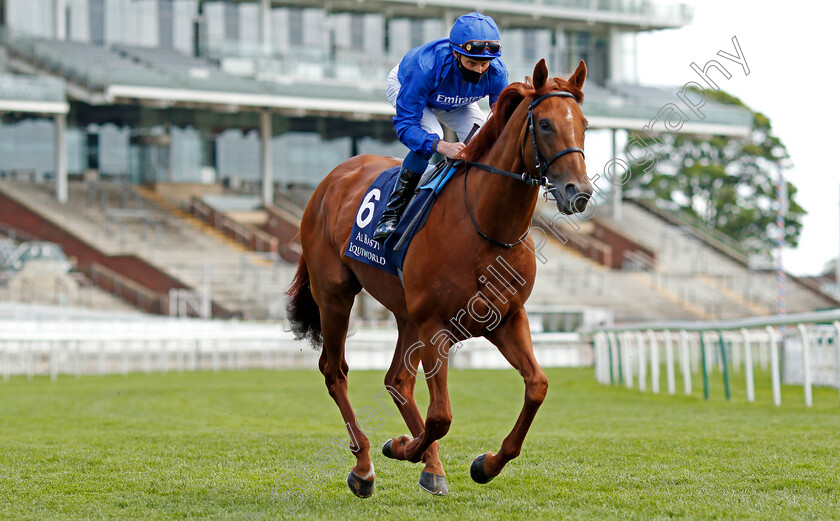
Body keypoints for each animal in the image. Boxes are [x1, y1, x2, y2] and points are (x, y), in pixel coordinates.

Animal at [286, 59, 588, 498]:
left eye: (583, 123)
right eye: (545, 124)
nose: (578, 192)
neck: (485, 226)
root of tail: (333, 177)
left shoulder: (507, 318)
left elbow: (537, 386)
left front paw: (486, 464)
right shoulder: (435, 325)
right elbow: (441, 415)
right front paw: (400, 448)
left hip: (404, 312)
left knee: (397, 381)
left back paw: (430, 466)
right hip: (335, 295)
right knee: (335, 371)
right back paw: (365, 467)